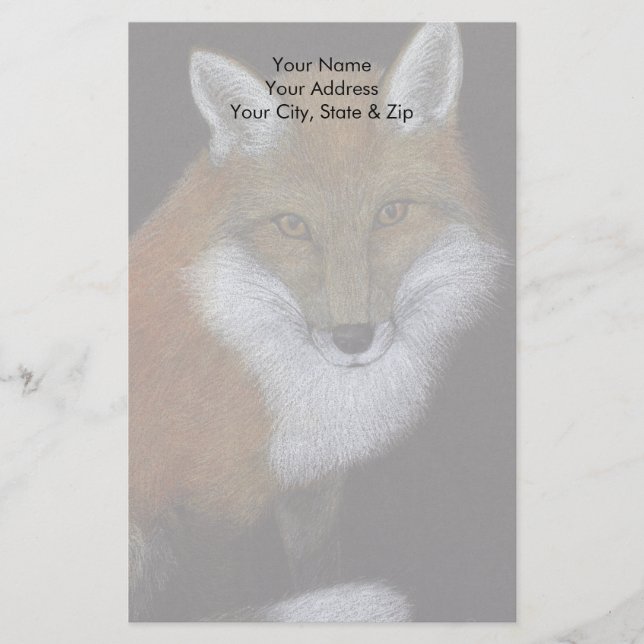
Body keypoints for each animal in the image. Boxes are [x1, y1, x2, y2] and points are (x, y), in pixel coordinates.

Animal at [129, 23, 505, 622]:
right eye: (292, 226)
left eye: (391, 214)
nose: (353, 339)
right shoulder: (209, 509)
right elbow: (223, 599)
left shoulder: (313, 485)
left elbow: (315, 569)